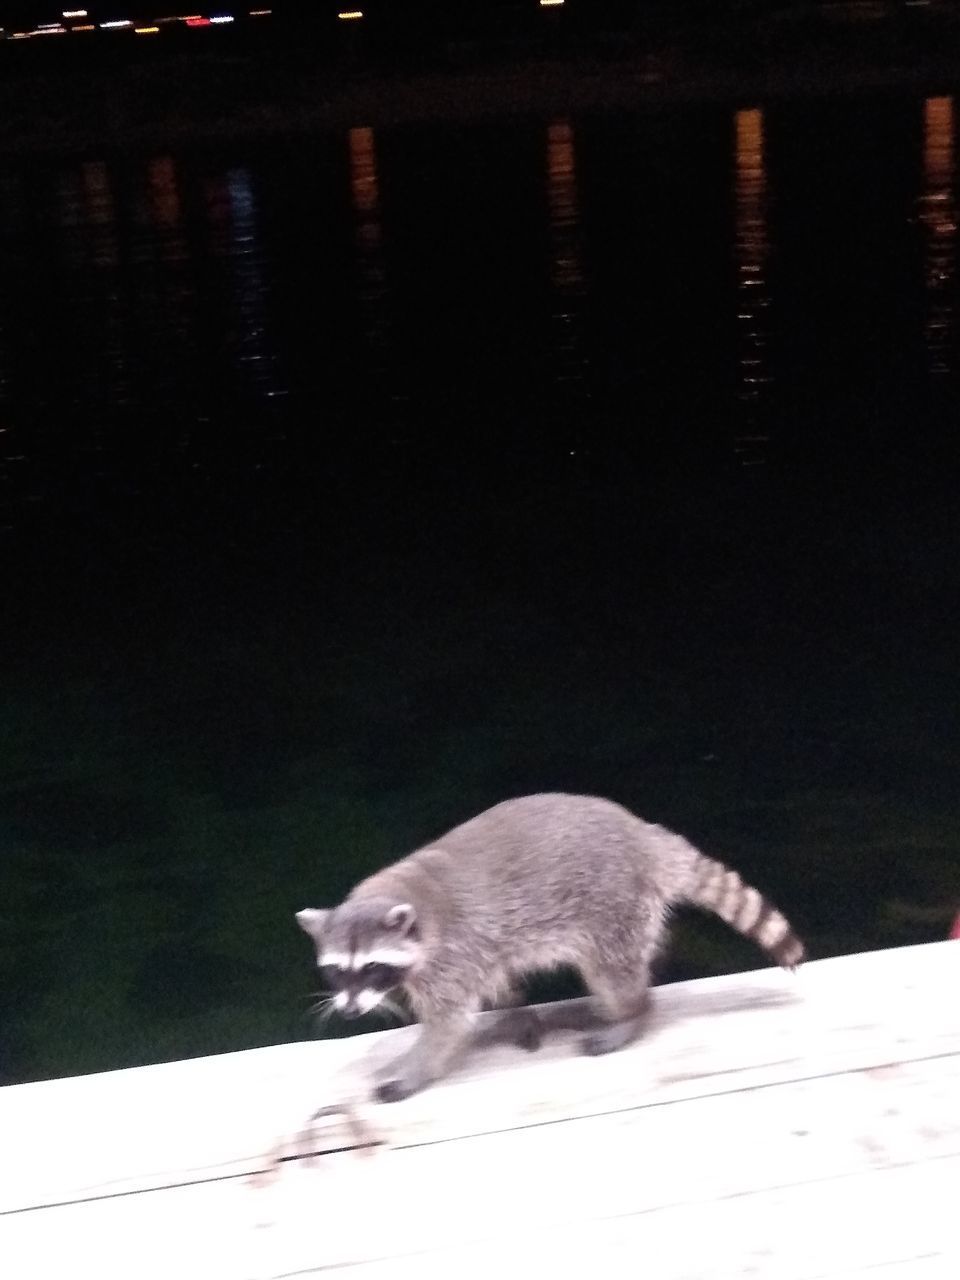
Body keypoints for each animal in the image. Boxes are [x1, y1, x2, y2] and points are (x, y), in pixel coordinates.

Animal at [296, 788, 808, 1100]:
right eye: (337, 970)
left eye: (372, 968)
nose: (349, 1012)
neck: (403, 894)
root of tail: (643, 836)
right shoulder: (478, 948)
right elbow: (499, 982)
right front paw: (518, 1014)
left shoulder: (451, 954)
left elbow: (448, 1024)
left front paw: (414, 1071)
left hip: (613, 902)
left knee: (612, 972)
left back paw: (632, 1013)